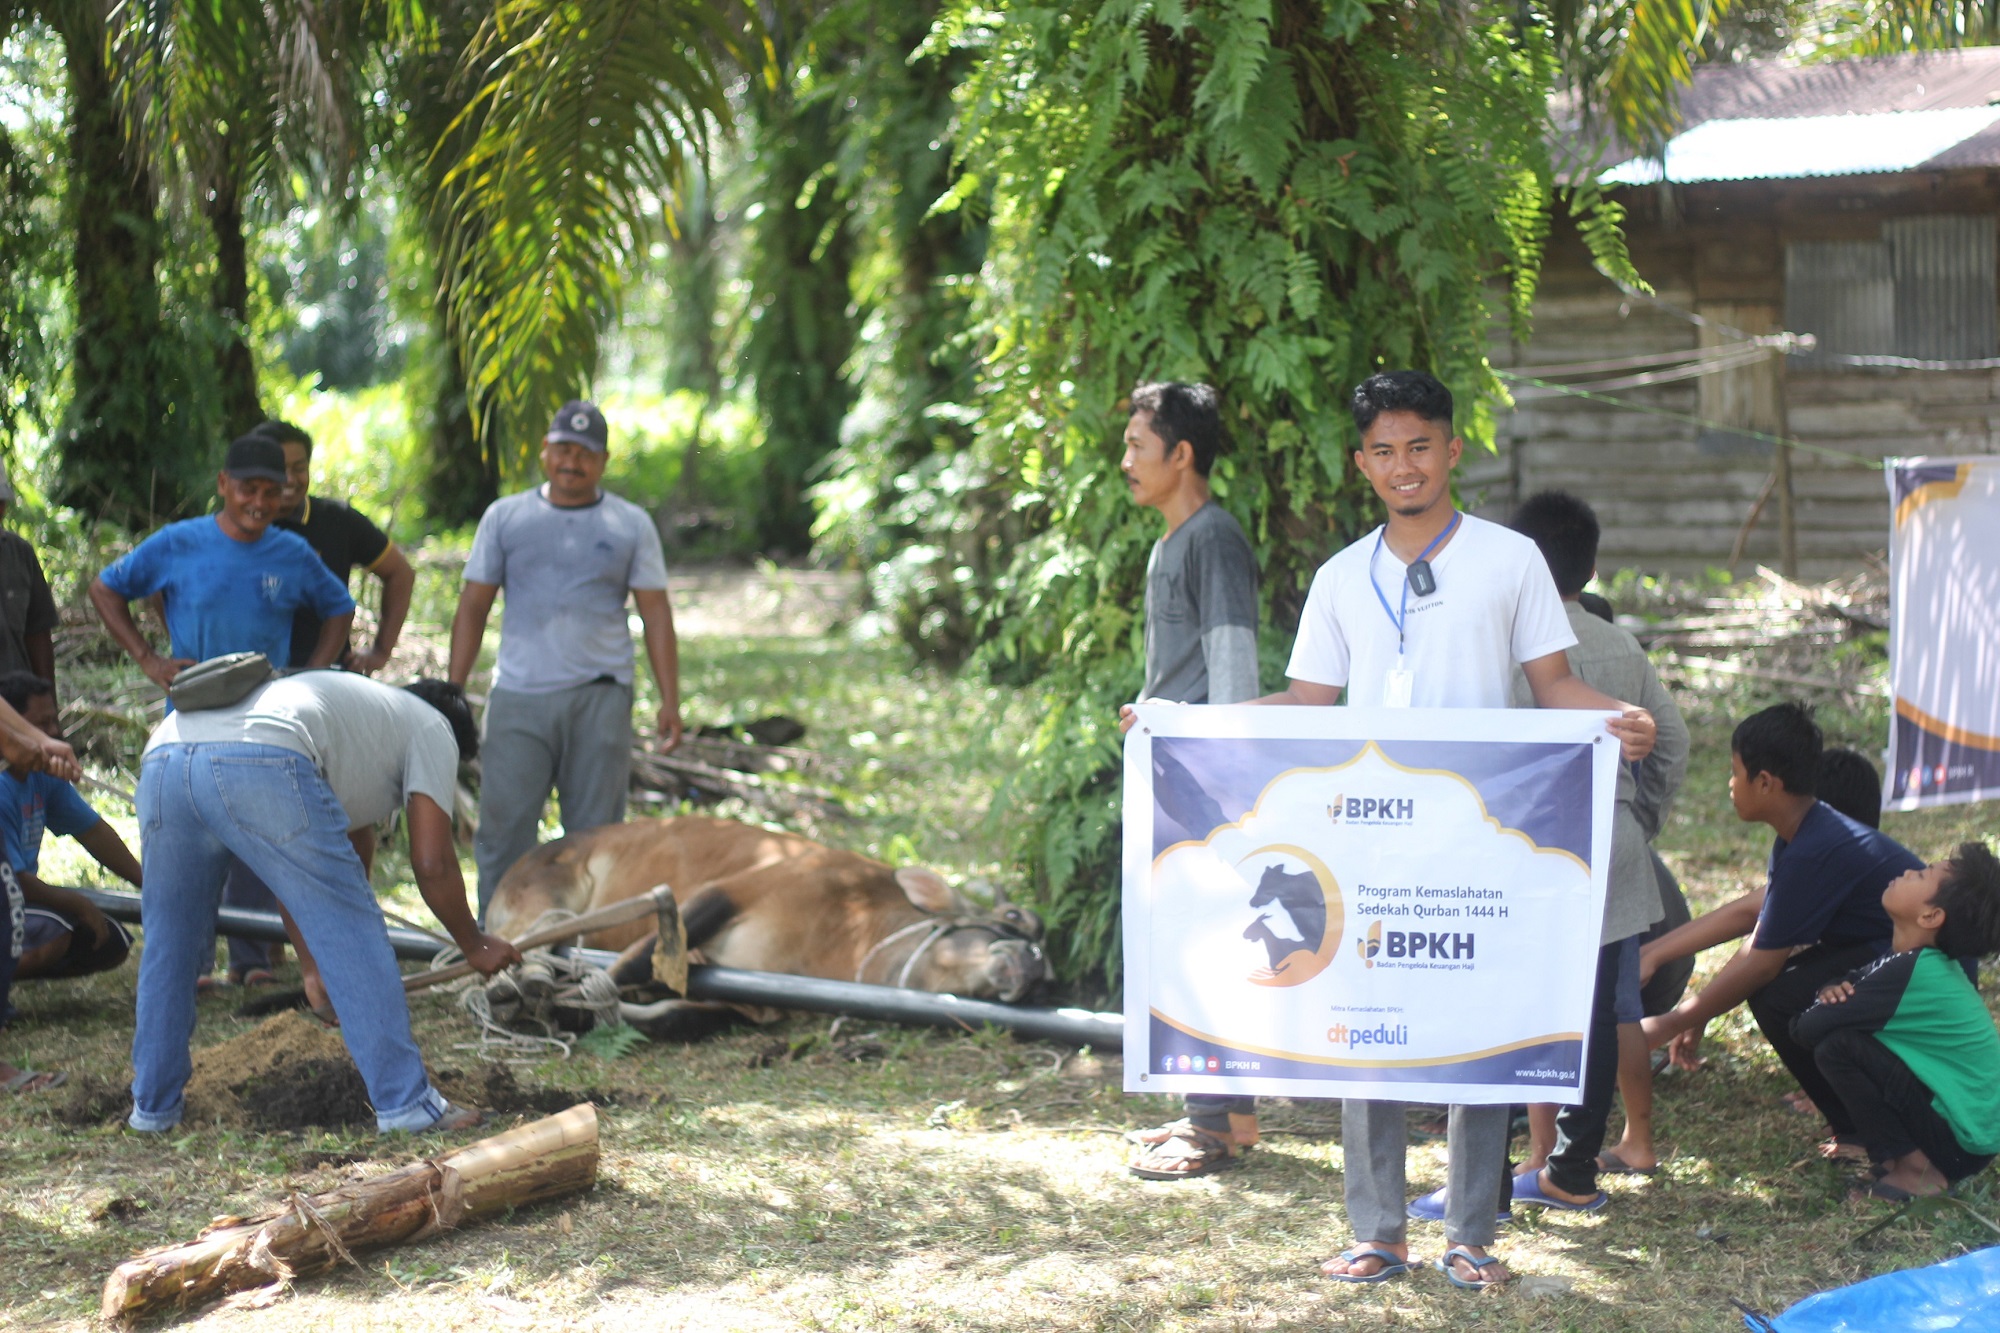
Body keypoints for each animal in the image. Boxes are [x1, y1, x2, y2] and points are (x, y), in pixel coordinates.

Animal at [484, 808, 1048, 1040]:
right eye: (1013, 918)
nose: (1035, 967)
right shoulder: (734, 890)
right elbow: (633, 963)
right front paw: (566, 1004)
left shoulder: (754, 1004)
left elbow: (674, 1017)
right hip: (544, 902)